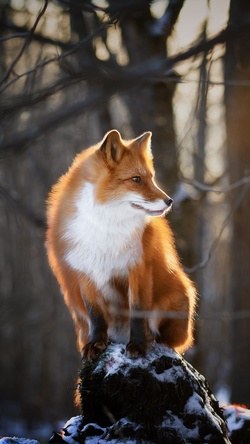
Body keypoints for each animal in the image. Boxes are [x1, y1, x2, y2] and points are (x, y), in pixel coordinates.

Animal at [46, 129, 196, 360]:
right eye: (136, 179)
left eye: (151, 178)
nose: (169, 201)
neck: (106, 228)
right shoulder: (85, 273)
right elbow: (96, 316)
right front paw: (96, 344)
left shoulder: (138, 268)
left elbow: (138, 312)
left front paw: (139, 344)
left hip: (180, 295)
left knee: (170, 340)